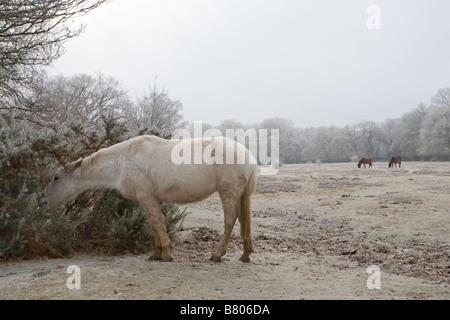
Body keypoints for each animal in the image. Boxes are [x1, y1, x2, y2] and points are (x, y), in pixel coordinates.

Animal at [42, 135, 260, 262]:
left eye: (56, 177)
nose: (43, 202)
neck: (124, 160)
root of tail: (249, 156)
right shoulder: (146, 201)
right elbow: (153, 224)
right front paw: (156, 254)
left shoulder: (148, 199)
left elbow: (158, 223)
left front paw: (167, 254)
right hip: (239, 195)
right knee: (243, 221)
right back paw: (245, 254)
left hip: (228, 193)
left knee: (230, 221)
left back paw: (217, 255)